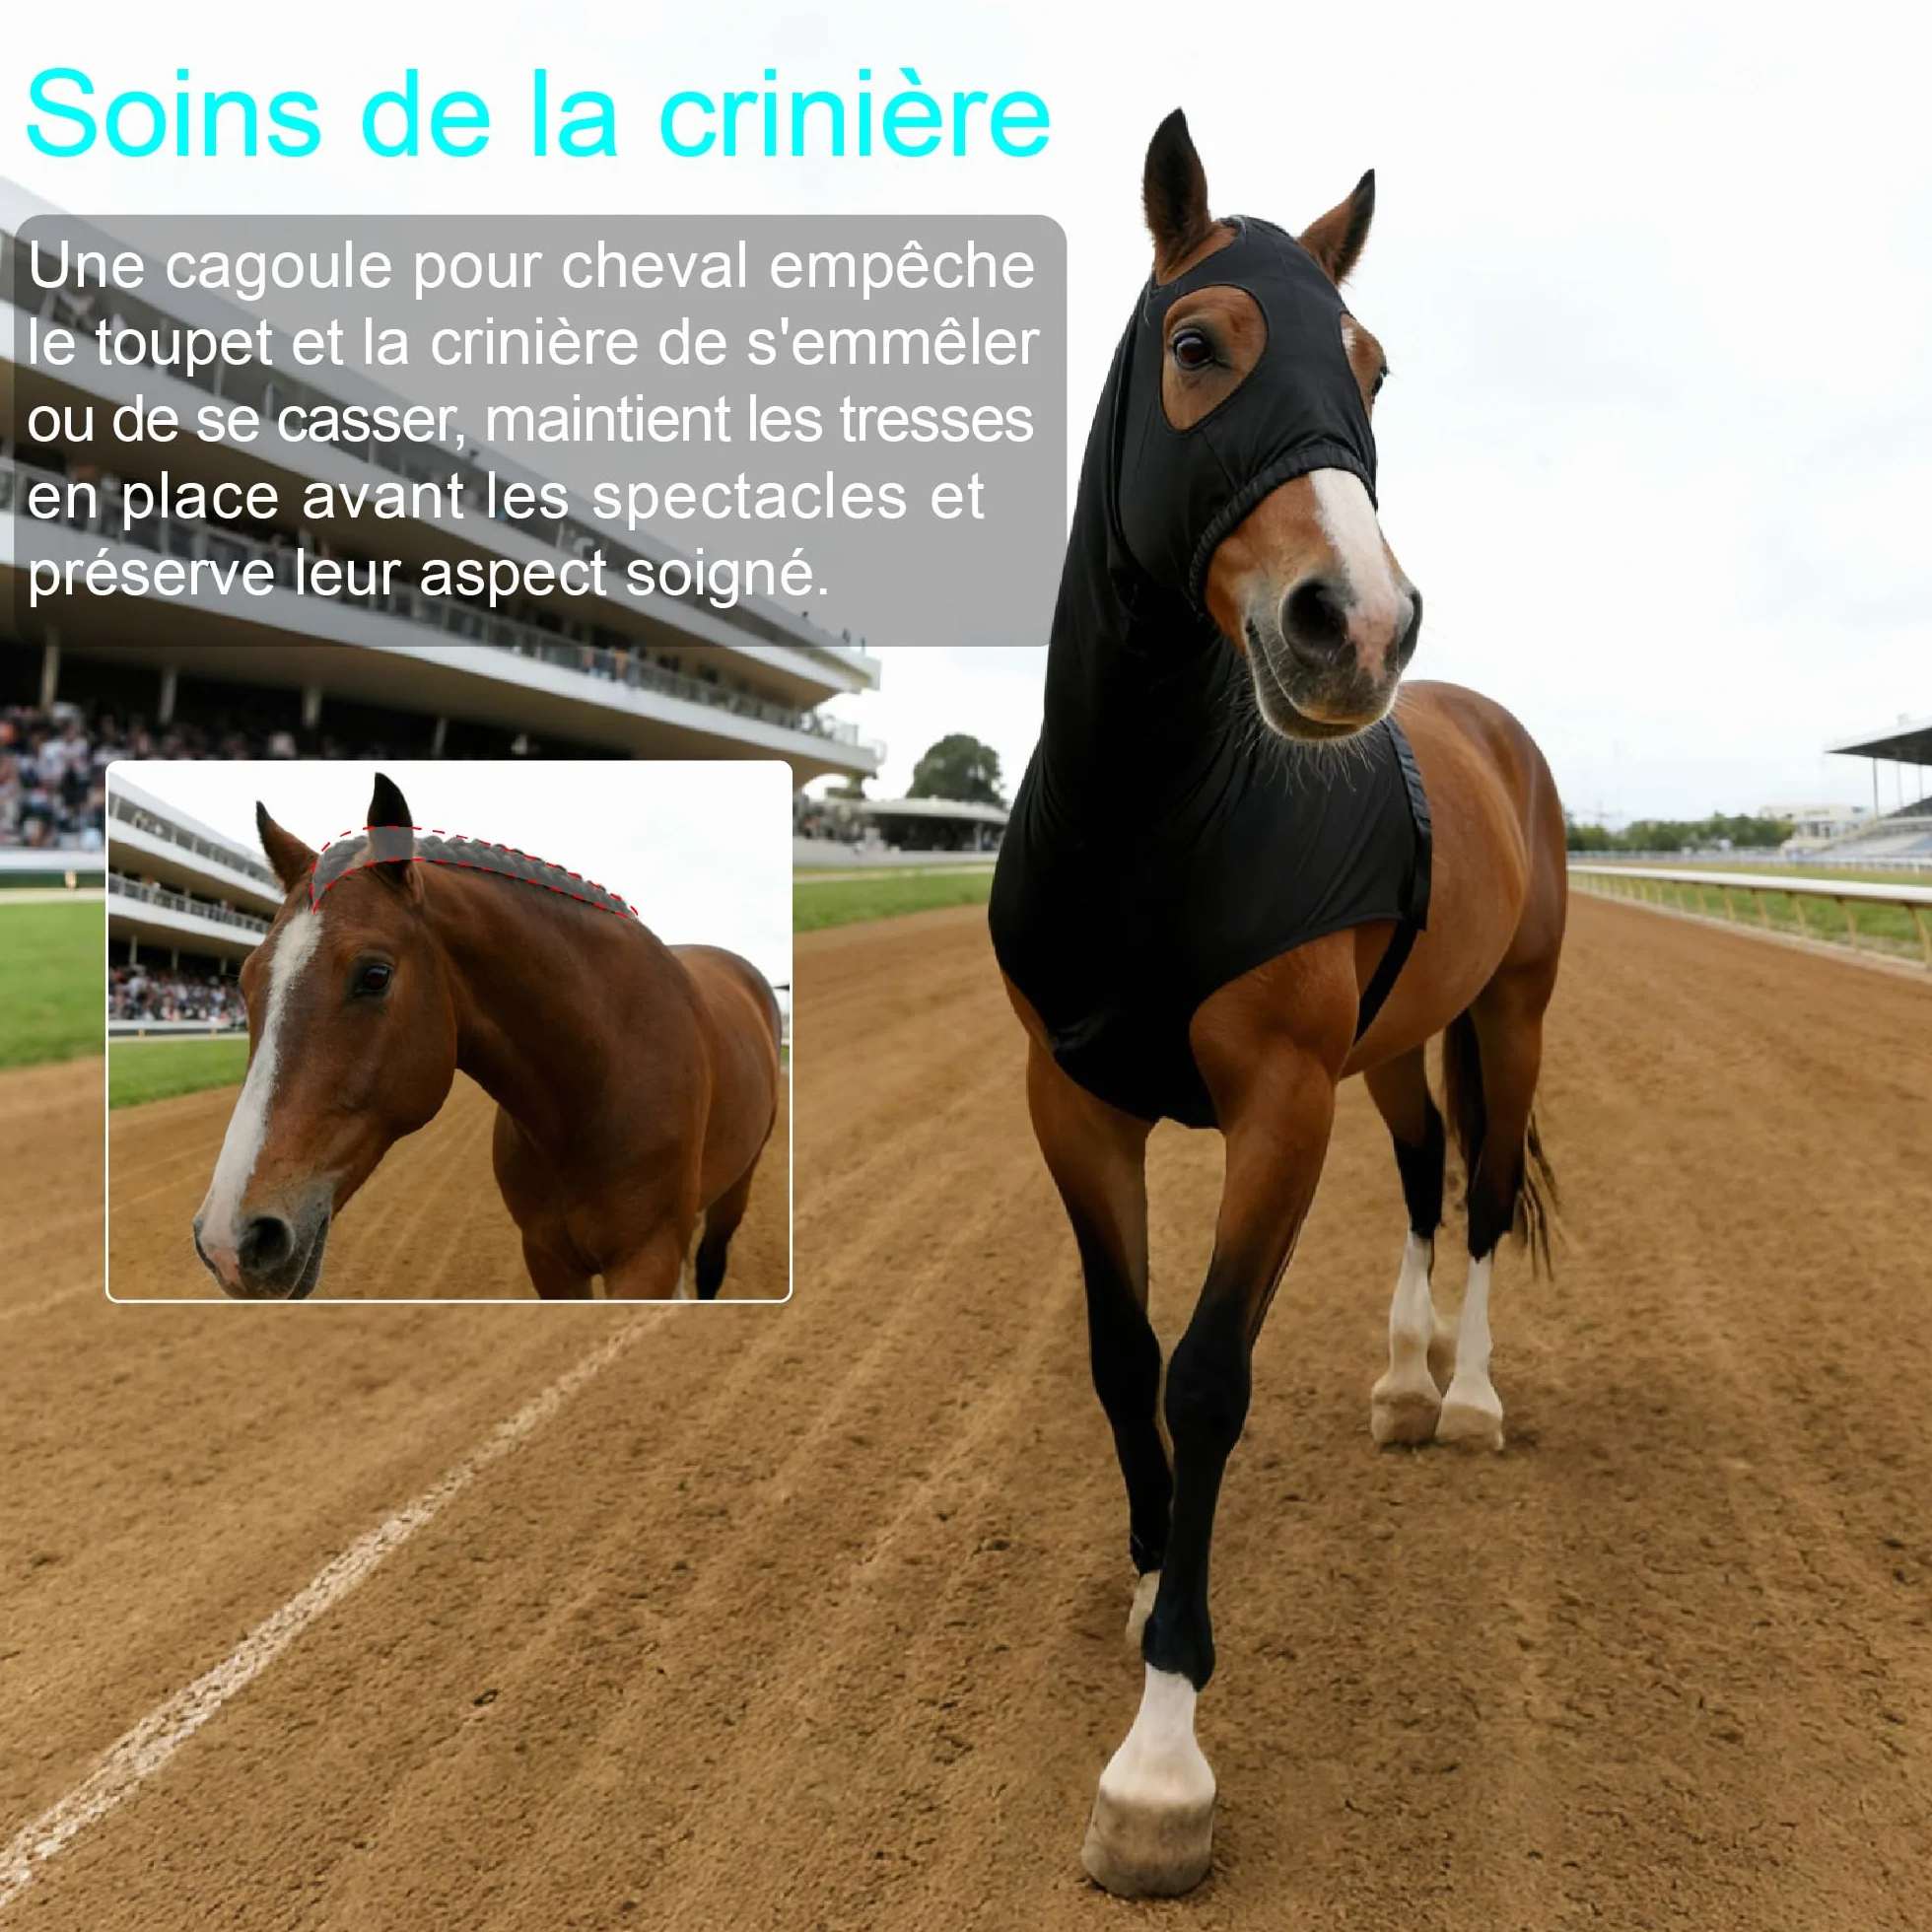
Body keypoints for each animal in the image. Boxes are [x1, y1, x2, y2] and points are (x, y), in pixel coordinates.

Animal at [191, 773, 783, 1302]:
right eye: (245, 983)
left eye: (375, 975)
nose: (230, 1240)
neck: (603, 1079)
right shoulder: (549, 1261)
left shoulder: (646, 1261)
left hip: (738, 1186)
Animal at [988, 112, 1566, 1897]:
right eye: (1200, 346)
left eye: (1368, 367)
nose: (1359, 626)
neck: (1155, 825)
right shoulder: (1073, 1099)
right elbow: (1120, 1356)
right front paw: (1142, 1574)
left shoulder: (1280, 1107)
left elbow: (1208, 1375)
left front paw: (1163, 1761)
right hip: (1395, 1048)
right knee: (1425, 1172)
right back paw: (1400, 1381)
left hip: (1511, 1015)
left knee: (1486, 1188)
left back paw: (1465, 1397)